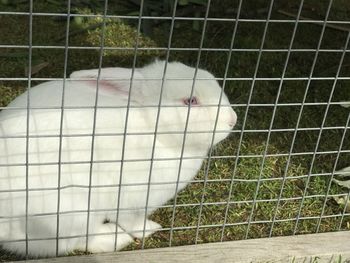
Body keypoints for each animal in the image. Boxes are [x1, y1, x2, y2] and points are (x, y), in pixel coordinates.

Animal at [0, 59, 238, 258]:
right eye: (190, 101)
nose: (233, 120)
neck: (152, 128)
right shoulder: (132, 199)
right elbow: (131, 221)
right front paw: (150, 229)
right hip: (72, 213)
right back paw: (116, 238)